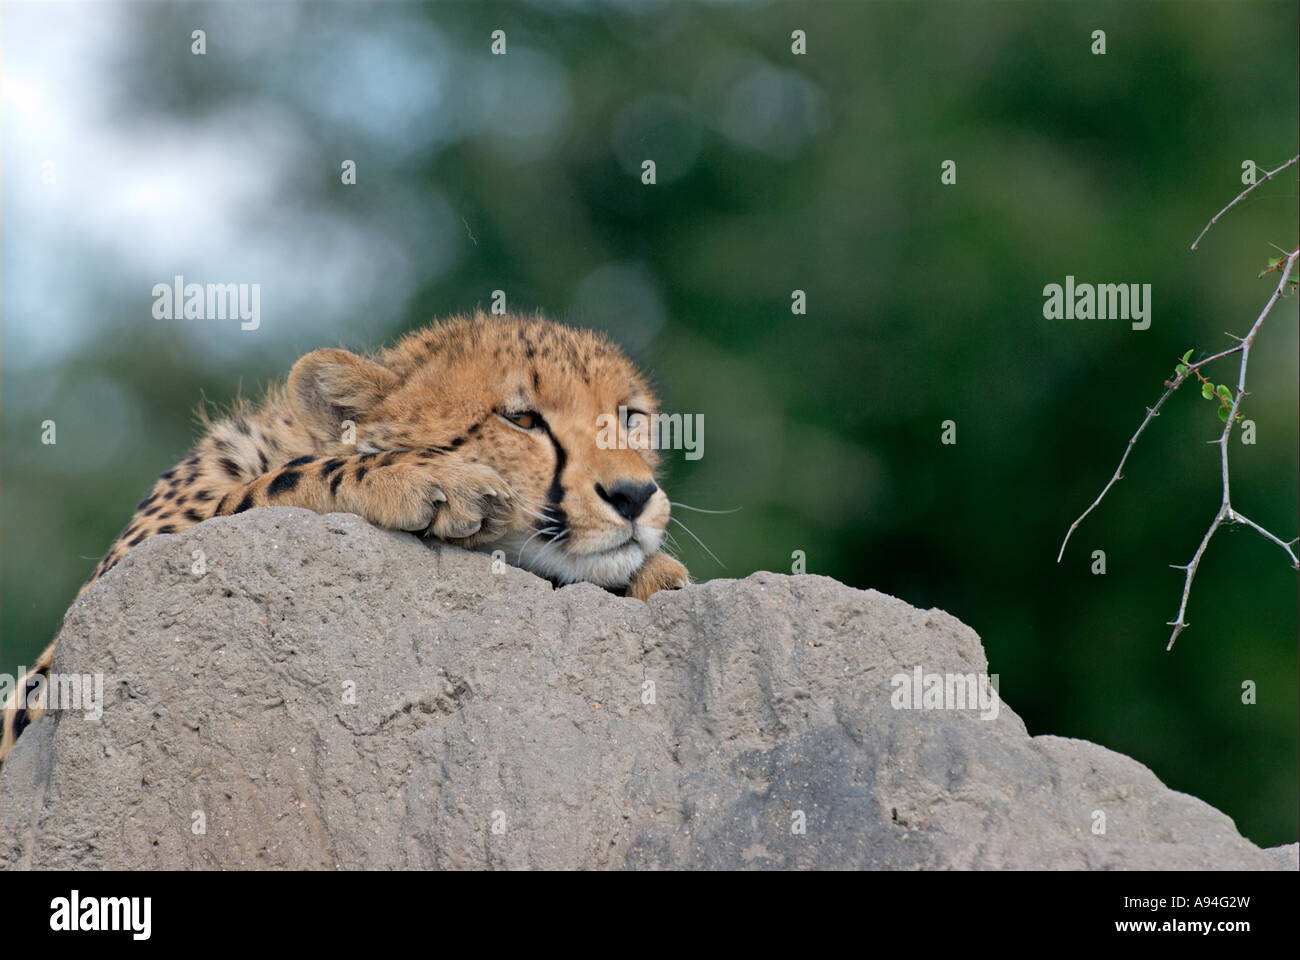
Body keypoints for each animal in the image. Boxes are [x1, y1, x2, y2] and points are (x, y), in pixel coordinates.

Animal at [0, 312, 689, 763]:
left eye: (630, 416)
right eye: (520, 418)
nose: (634, 495)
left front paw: (655, 574)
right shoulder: (58, 675)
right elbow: (277, 483)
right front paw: (418, 478)